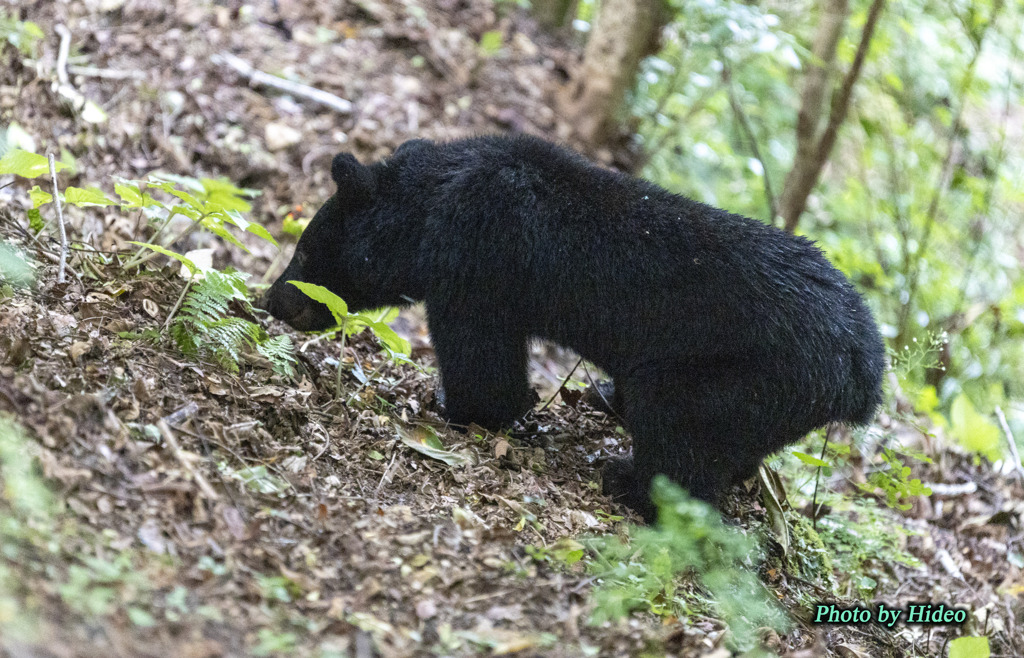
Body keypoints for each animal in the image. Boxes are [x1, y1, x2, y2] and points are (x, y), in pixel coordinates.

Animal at [266, 136, 888, 521]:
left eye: (305, 252)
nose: (273, 300)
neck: (431, 207)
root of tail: (867, 373)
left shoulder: (478, 260)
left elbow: (480, 355)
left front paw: (455, 405)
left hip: (732, 371)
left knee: (678, 436)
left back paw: (629, 480)